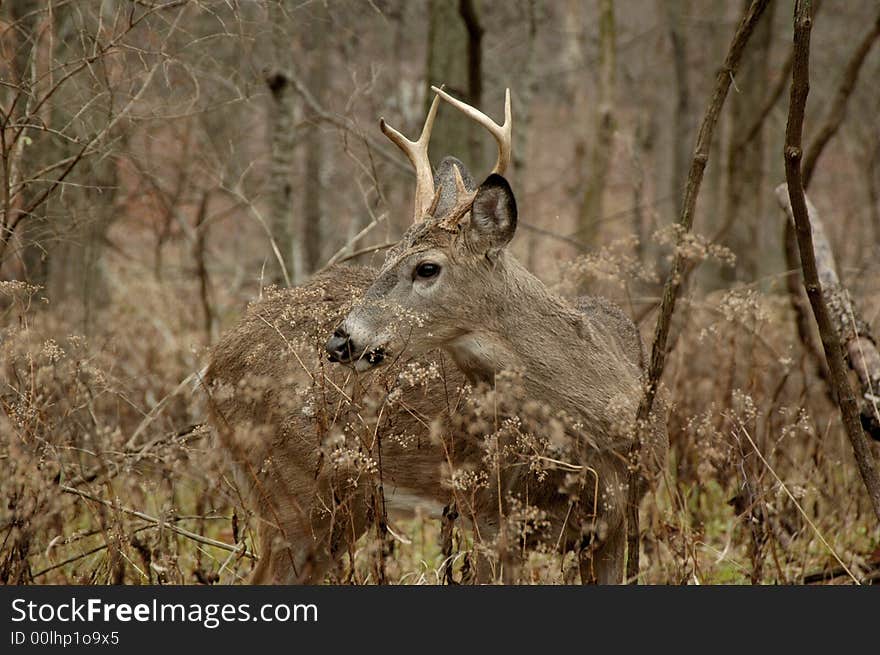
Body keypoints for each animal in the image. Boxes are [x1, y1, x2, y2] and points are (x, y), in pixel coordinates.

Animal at [208, 87, 668, 584]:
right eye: (387, 255)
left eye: (426, 267)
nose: (340, 342)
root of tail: (211, 367)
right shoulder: (492, 516)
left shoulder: (612, 527)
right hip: (302, 489)